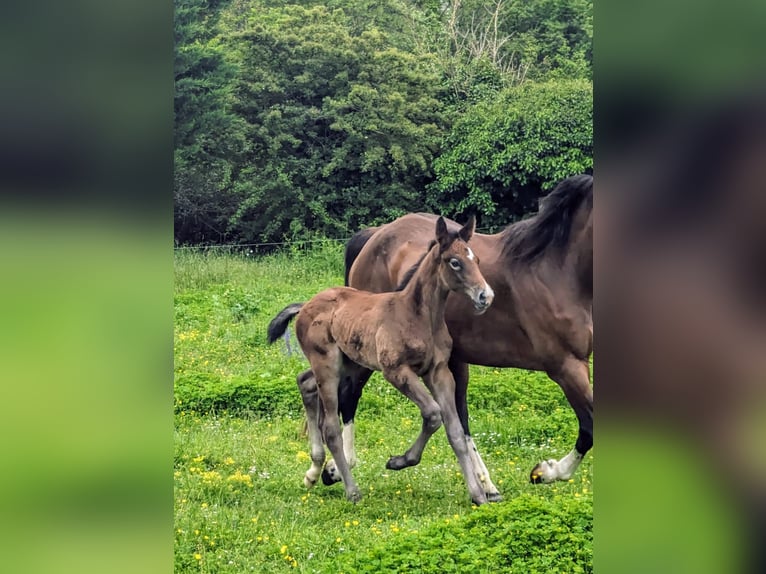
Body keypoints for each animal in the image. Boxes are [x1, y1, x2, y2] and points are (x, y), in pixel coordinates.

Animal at [270, 218, 498, 506]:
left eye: (476, 259)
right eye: (454, 262)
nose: (485, 296)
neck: (418, 315)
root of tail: (306, 305)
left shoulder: (438, 372)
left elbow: (455, 430)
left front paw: (478, 494)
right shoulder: (396, 371)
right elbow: (433, 414)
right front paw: (399, 461)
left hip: (347, 363)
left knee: (305, 382)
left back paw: (315, 469)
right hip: (328, 365)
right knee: (330, 425)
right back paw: (351, 490)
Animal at [318, 173, 592, 502]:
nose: (485, 297)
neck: (558, 272)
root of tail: (374, 236)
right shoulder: (566, 366)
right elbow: (589, 427)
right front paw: (547, 471)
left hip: (453, 362)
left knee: (459, 419)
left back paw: (486, 486)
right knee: (349, 395)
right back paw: (333, 469)